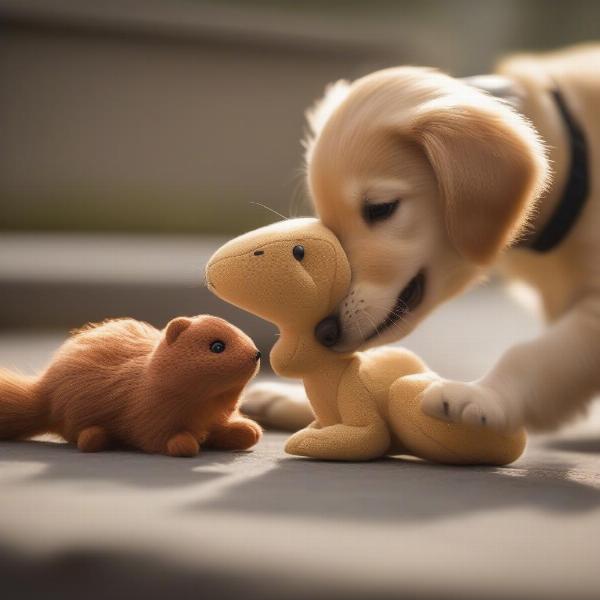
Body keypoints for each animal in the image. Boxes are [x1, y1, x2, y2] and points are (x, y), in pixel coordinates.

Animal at [244, 44, 600, 434]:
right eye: (329, 227)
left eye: (381, 208)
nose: (324, 332)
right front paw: (293, 399)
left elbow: (534, 355)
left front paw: (482, 396)